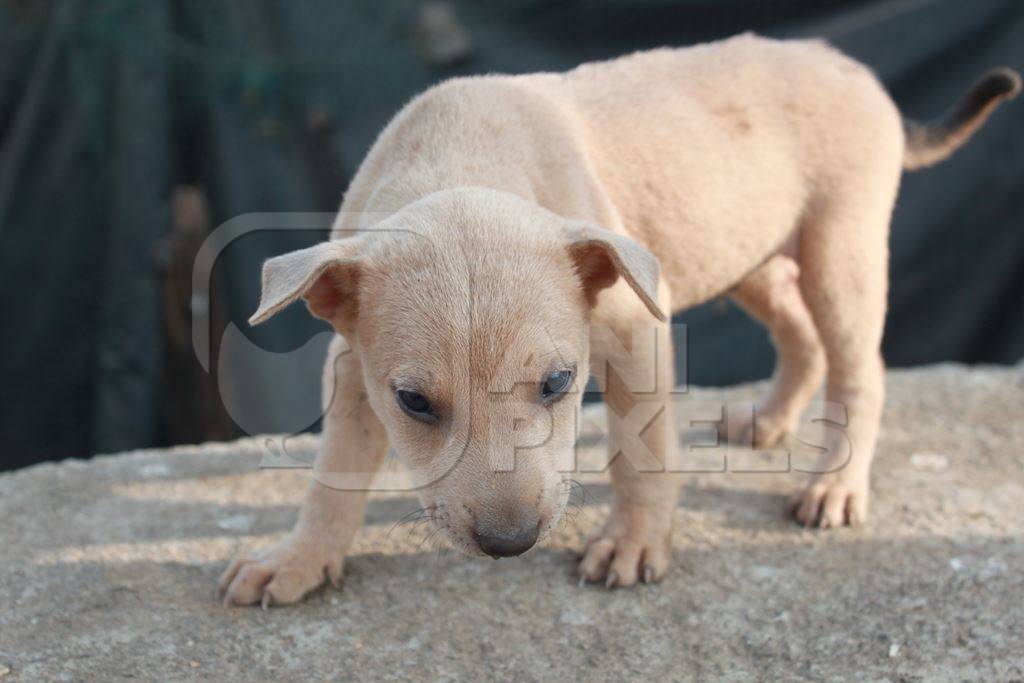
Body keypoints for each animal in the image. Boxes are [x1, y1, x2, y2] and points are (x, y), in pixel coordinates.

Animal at [216, 34, 1015, 606]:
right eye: (413, 402)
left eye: (558, 383)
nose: (510, 544)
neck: (460, 157)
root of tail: (852, 69)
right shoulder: (351, 368)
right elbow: (332, 474)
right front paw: (299, 560)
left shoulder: (639, 336)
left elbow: (642, 452)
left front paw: (633, 542)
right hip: (744, 248)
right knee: (800, 335)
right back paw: (769, 421)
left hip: (839, 248)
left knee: (860, 368)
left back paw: (836, 484)